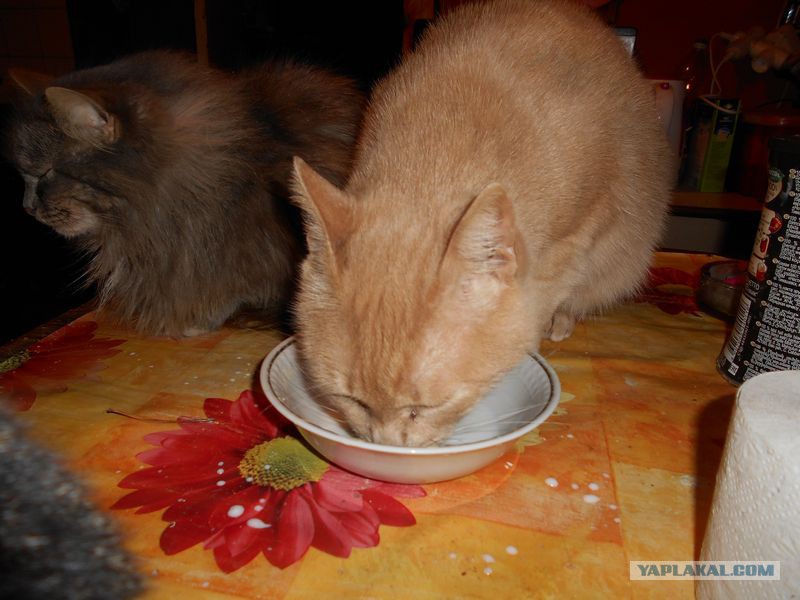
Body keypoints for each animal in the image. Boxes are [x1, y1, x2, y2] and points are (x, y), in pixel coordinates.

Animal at [6, 51, 364, 337]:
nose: (26, 208)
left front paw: (197, 321)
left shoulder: (237, 250)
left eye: (45, 173)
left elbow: (226, 288)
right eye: (24, 177)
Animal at [290, 0, 673, 446]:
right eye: (354, 402)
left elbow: (547, 295)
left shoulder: (584, 227)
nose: (385, 447)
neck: (436, 155)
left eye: (425, 408)